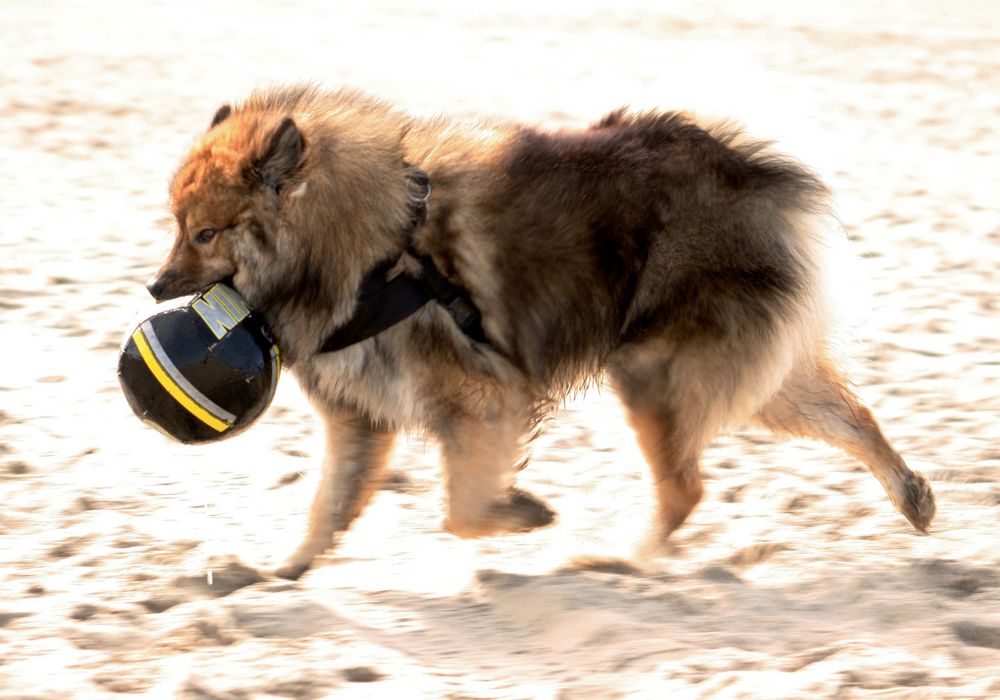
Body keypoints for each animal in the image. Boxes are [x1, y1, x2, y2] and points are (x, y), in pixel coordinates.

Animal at [148, 85, 936, 580]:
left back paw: (621, 559)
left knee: (685, 488)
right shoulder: (360, 418)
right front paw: (279, 573)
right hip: (751, 379)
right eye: (177, 228)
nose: (154, 287)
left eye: (205, 233)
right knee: (853, 417)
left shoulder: (481, 404)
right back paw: (912, 494)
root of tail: (754, 178)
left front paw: (523, 513)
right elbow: (326, 510)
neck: (369, 245)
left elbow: (463, 512)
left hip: (651, 373)